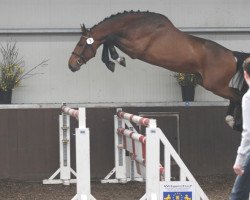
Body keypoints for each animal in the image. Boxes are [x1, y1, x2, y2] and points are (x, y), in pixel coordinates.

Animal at [68, 11, 250, 133]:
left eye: (81, 44)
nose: (71, 65)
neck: (134, 25)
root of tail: (232, 55)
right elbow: (108, 39)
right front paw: (112, 61)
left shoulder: (134, 49)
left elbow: (110, 38)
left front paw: (116, 60)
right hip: (211, 84)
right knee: (236, 95)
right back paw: (231, 121)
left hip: (215, 85)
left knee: (238, 95)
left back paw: (238, 124)